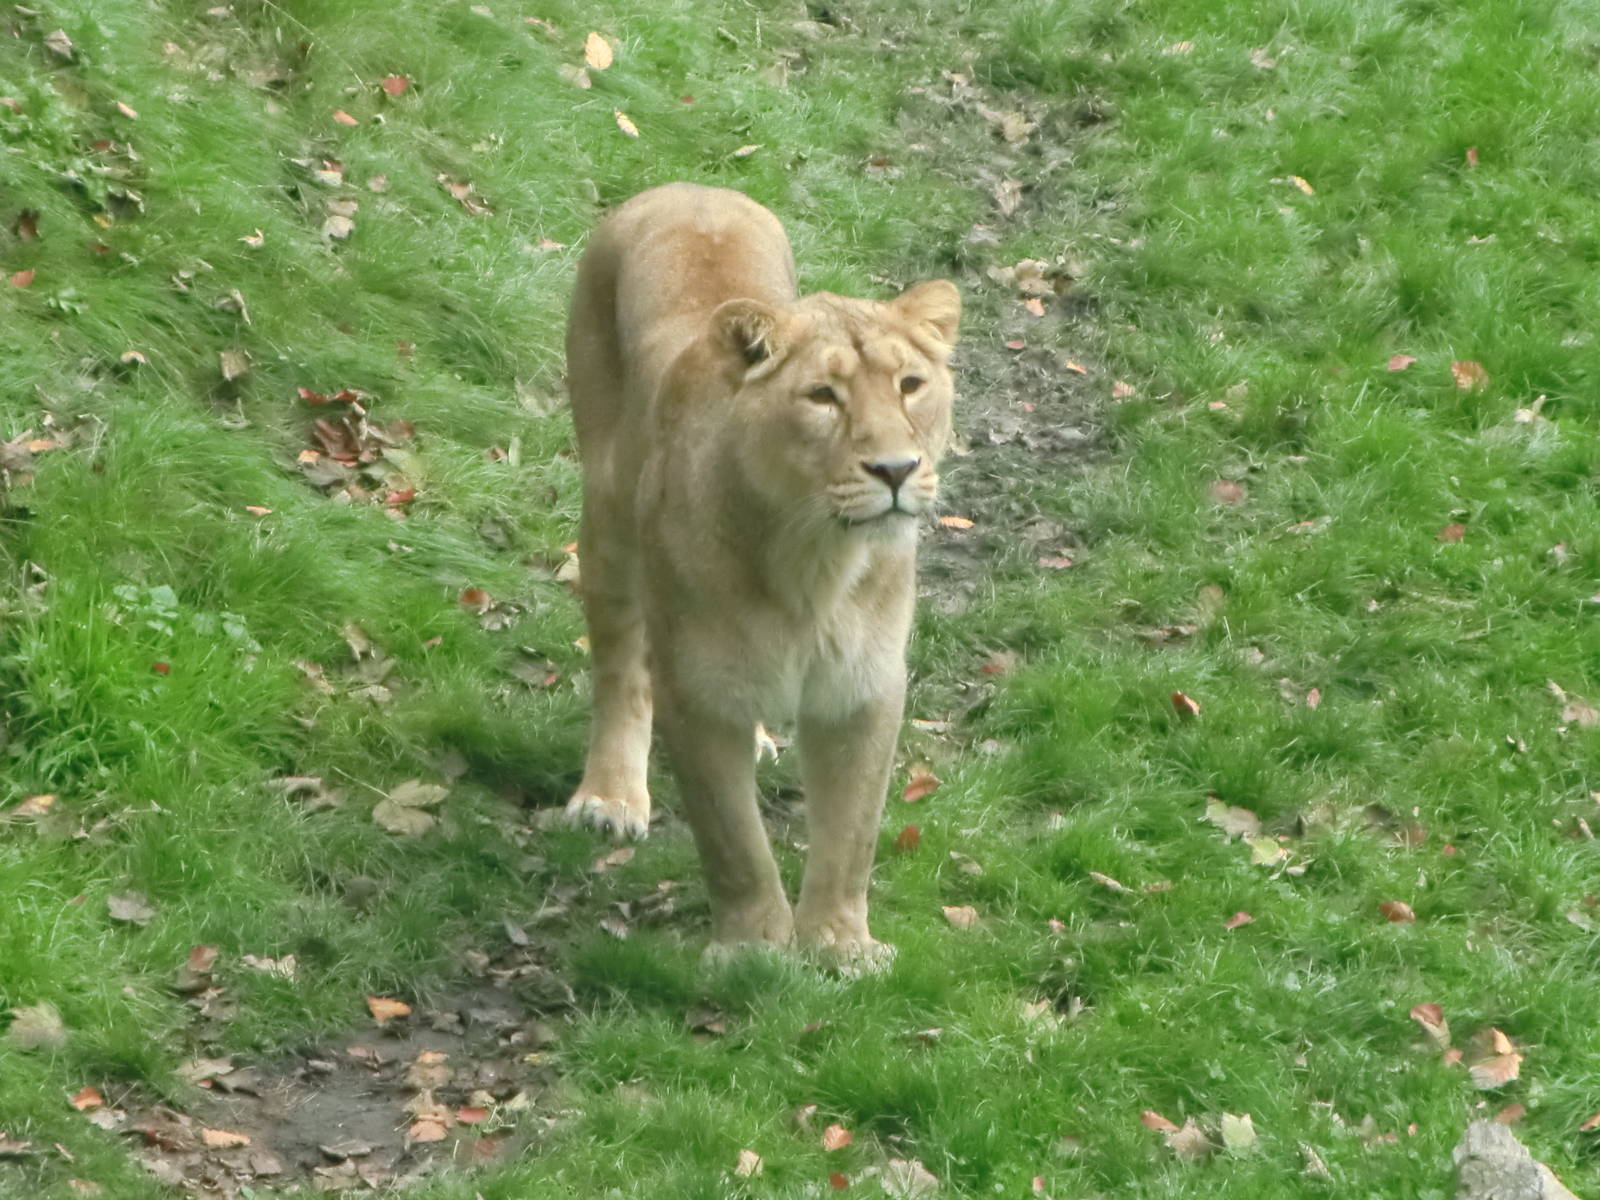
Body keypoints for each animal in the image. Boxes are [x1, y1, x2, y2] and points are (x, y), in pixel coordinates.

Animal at [562, 182, 960, 964]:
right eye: (823, 397)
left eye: (910, 385)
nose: (897, 470)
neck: (815, 562)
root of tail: (688, 188)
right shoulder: (699, 690)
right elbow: (733, 840)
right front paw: (753, 949)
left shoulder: (864, 686)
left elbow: (852, 835)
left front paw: (840, 945)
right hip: (609, 517)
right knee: (622, 666)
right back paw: (611, 796)